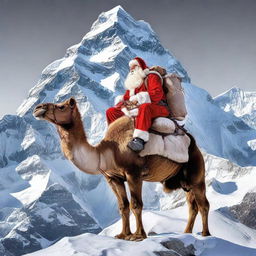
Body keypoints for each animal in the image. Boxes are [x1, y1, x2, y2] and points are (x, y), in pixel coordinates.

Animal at [33, 97, 210, 241]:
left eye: (61, 106)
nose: (38, 108)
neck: (105, 152)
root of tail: (193, 144)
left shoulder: (134, 174)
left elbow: (136, 204)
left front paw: (138, 235)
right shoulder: (113, 178)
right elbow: (122, 206)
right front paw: (123, 234)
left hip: (197, 174)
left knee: (203, 204)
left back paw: (205, 234)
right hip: (184, 182)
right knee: (192, 206)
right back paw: (186, 233)